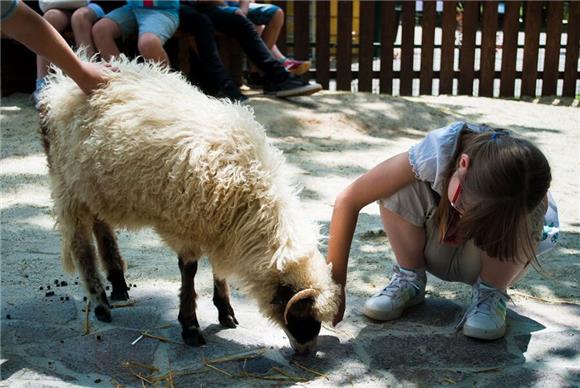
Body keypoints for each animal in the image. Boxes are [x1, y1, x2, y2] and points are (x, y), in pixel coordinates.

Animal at [37, 56, 340, 352]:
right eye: (303, 313)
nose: (307, 350)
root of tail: (60, 86)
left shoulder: (220, 227)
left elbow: (218, 268)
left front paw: (225, 311)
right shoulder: (186, 225)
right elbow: (189, 272)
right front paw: (190, 325)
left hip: (95, 186)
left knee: (102, 227)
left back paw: (119, 282)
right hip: (67, 186)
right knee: (81, 246)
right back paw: (100, 302)